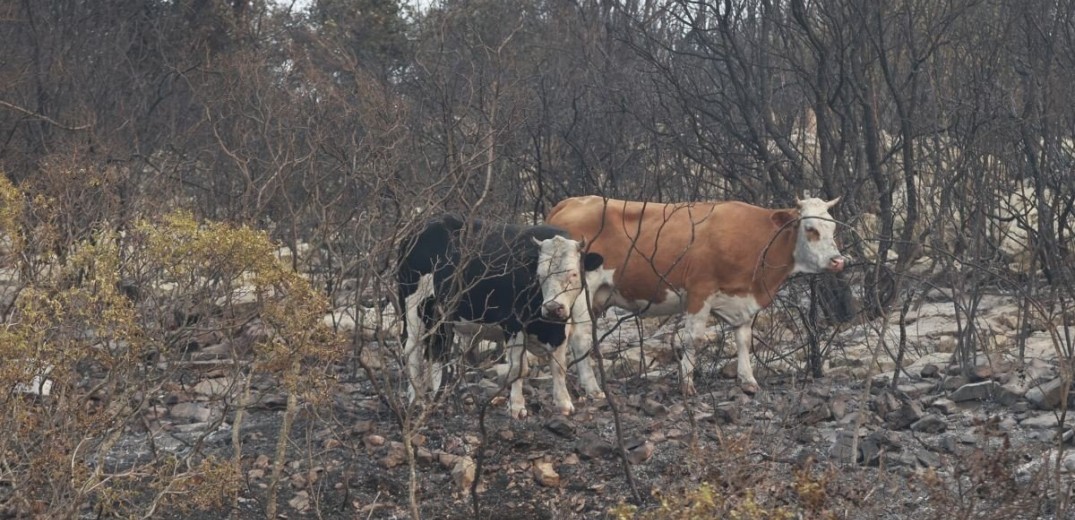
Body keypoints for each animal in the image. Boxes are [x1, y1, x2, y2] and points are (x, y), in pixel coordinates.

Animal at [399, 213, 610, 419]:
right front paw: (517, 406)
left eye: (573, 274)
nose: (552, 307)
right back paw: (416, 399)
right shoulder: (513, 324)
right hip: (414, 305)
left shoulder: (560, 326)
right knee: (412, 350)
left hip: (440, 318)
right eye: (539, 275)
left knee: (438, 350)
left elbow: (558, 365)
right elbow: (518, 367)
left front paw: (564, 403)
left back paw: (438, 397)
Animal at [546, 196, 847, 395]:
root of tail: (573, 201)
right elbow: (693, 339)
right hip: (581, 292)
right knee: (580, 338)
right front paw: (687, 384)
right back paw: (593, 389)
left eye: (833, 227)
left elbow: (744, 339)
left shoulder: (743, 299)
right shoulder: (699, 290)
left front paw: (748, 380)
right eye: (810, 229)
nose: (837, 261)